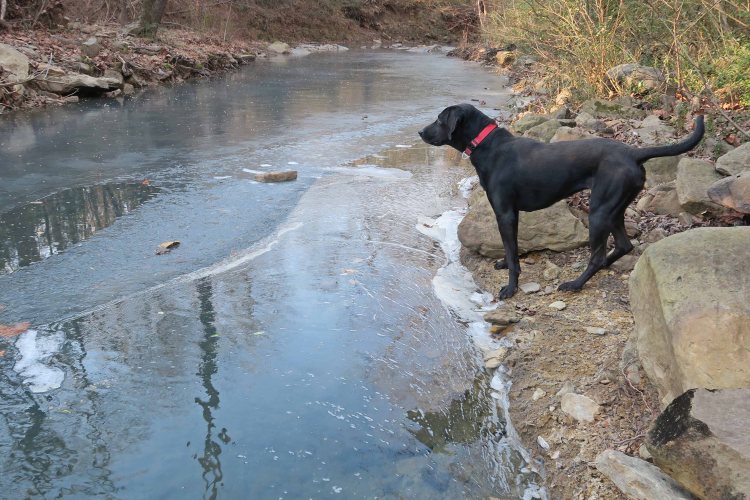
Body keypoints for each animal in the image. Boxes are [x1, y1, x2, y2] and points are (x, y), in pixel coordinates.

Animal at [420, 101, 708, 296]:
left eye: (439, 119)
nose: (420, 133)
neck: (487, 145)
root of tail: (633, 153)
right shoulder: (511, 215)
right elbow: (511, 250)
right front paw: (503, 264)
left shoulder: (505, 214)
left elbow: (512, 254)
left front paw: (510, 288)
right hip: (613, 210)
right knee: (623, 246)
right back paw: (603, 267)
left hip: (599, 212)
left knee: (597, 255)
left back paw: (576, 283)